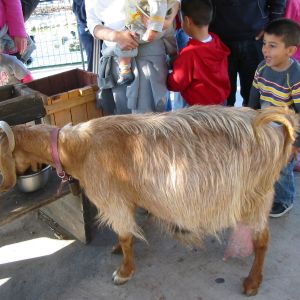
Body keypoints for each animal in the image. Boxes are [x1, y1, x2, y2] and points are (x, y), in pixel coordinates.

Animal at [0, 105, 298, 296]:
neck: (79, 148)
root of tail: (275, 130)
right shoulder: (126, 197)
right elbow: (126, 232)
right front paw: (118, 251)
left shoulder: (113, 200)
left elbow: (124, 235)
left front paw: (124, 271)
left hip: (257, 197)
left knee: (263, 240)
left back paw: (252, 282)